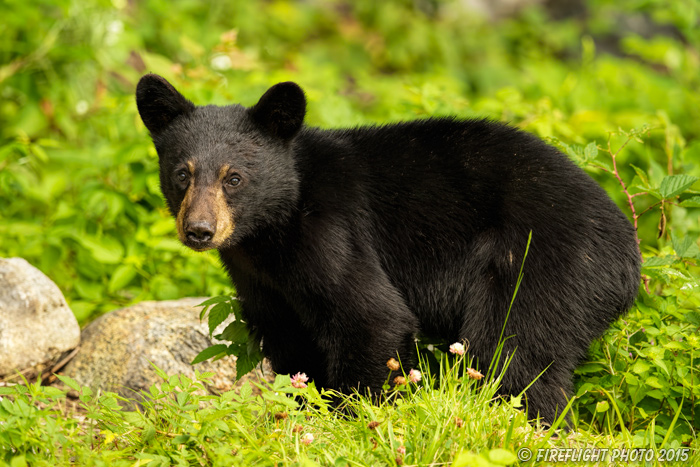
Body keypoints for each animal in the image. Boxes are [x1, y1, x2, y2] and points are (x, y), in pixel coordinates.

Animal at [135, 73, 640, 424]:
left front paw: (351, 421)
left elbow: (373, 317)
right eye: (182, 173)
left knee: (513, 354)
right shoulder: (264, 285)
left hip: (544, 265)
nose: (200, 230)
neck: (268, 233)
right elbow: (292, 347)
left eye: (234, 177)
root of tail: (629, 256)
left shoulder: (331, 234)